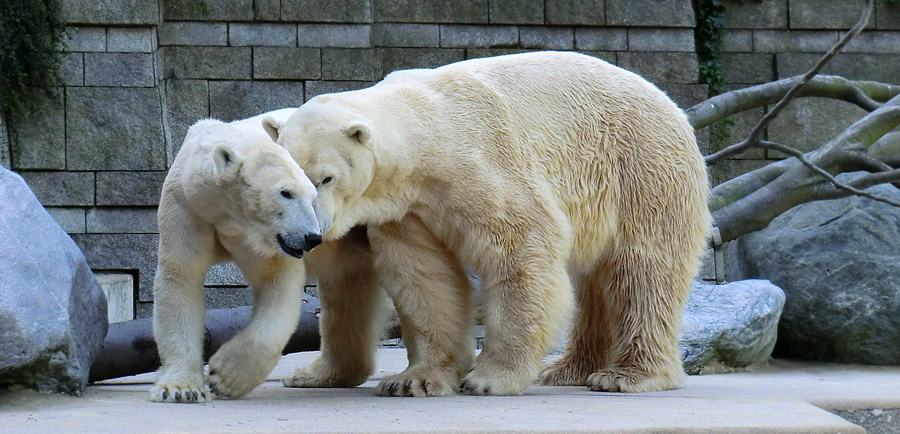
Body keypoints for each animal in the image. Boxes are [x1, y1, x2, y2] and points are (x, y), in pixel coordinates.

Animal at [149, 111, 326, 404]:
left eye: (312, 196)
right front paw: (181, 388)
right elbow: (181, 276)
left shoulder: (258, 236)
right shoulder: (188, 207)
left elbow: (277, 280)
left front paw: (224, 376)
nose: (312, 237)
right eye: (286, 193)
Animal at [268, 51, 712, 396]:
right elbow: (424, 277)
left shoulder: (481, 164)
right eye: (285, 187)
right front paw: (414, 379)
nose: (311, 235)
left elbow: (521, 247)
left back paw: (626, 375)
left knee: (643, 269)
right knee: (594, 281)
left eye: (325, 178)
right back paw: (569, 370)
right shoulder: (408, 211)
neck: (430, 133)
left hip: (641, 169)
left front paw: (489, 378)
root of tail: (671, 104)